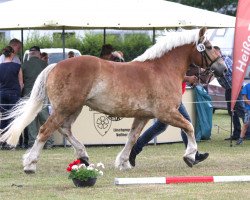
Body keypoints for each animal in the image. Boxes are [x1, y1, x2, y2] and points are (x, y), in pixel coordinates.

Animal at [0, 27, 227, 173]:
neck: (161, 69)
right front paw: (191, 155)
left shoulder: (143, 116)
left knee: (64, 129)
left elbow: (132, 137)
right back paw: (30, 164)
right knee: (46, 130)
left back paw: (83, 156)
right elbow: (189, 126)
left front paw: (123, 162)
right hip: (66, 107)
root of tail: (56, 65)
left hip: (73, 108)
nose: (223, 69)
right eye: (208, 47)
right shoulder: (166, 113)